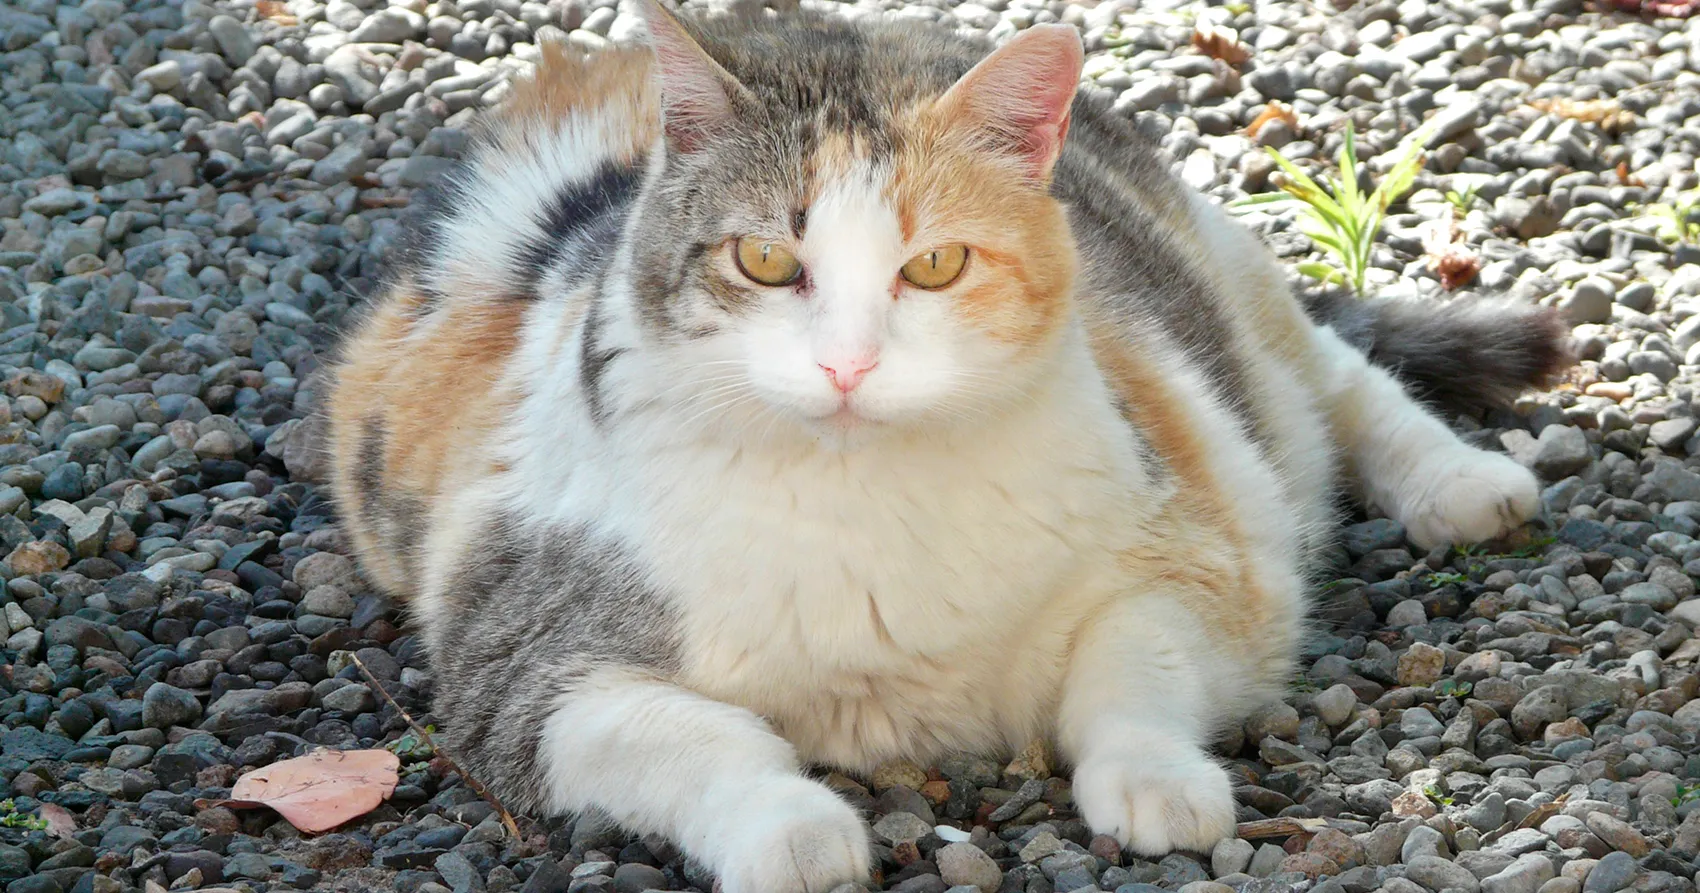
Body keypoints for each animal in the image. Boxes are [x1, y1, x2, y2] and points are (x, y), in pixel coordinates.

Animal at [324, 3, 1570, 884]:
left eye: (932, 265)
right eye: (764, 261)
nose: (846, 362)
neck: (860, 498)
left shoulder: (1206, 552)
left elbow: (1129, 665)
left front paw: (1157, 781)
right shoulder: (521, 668)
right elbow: (698, 735)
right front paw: (794, 829)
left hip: (1227, 296)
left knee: (1332, 377)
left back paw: (1460, 482)